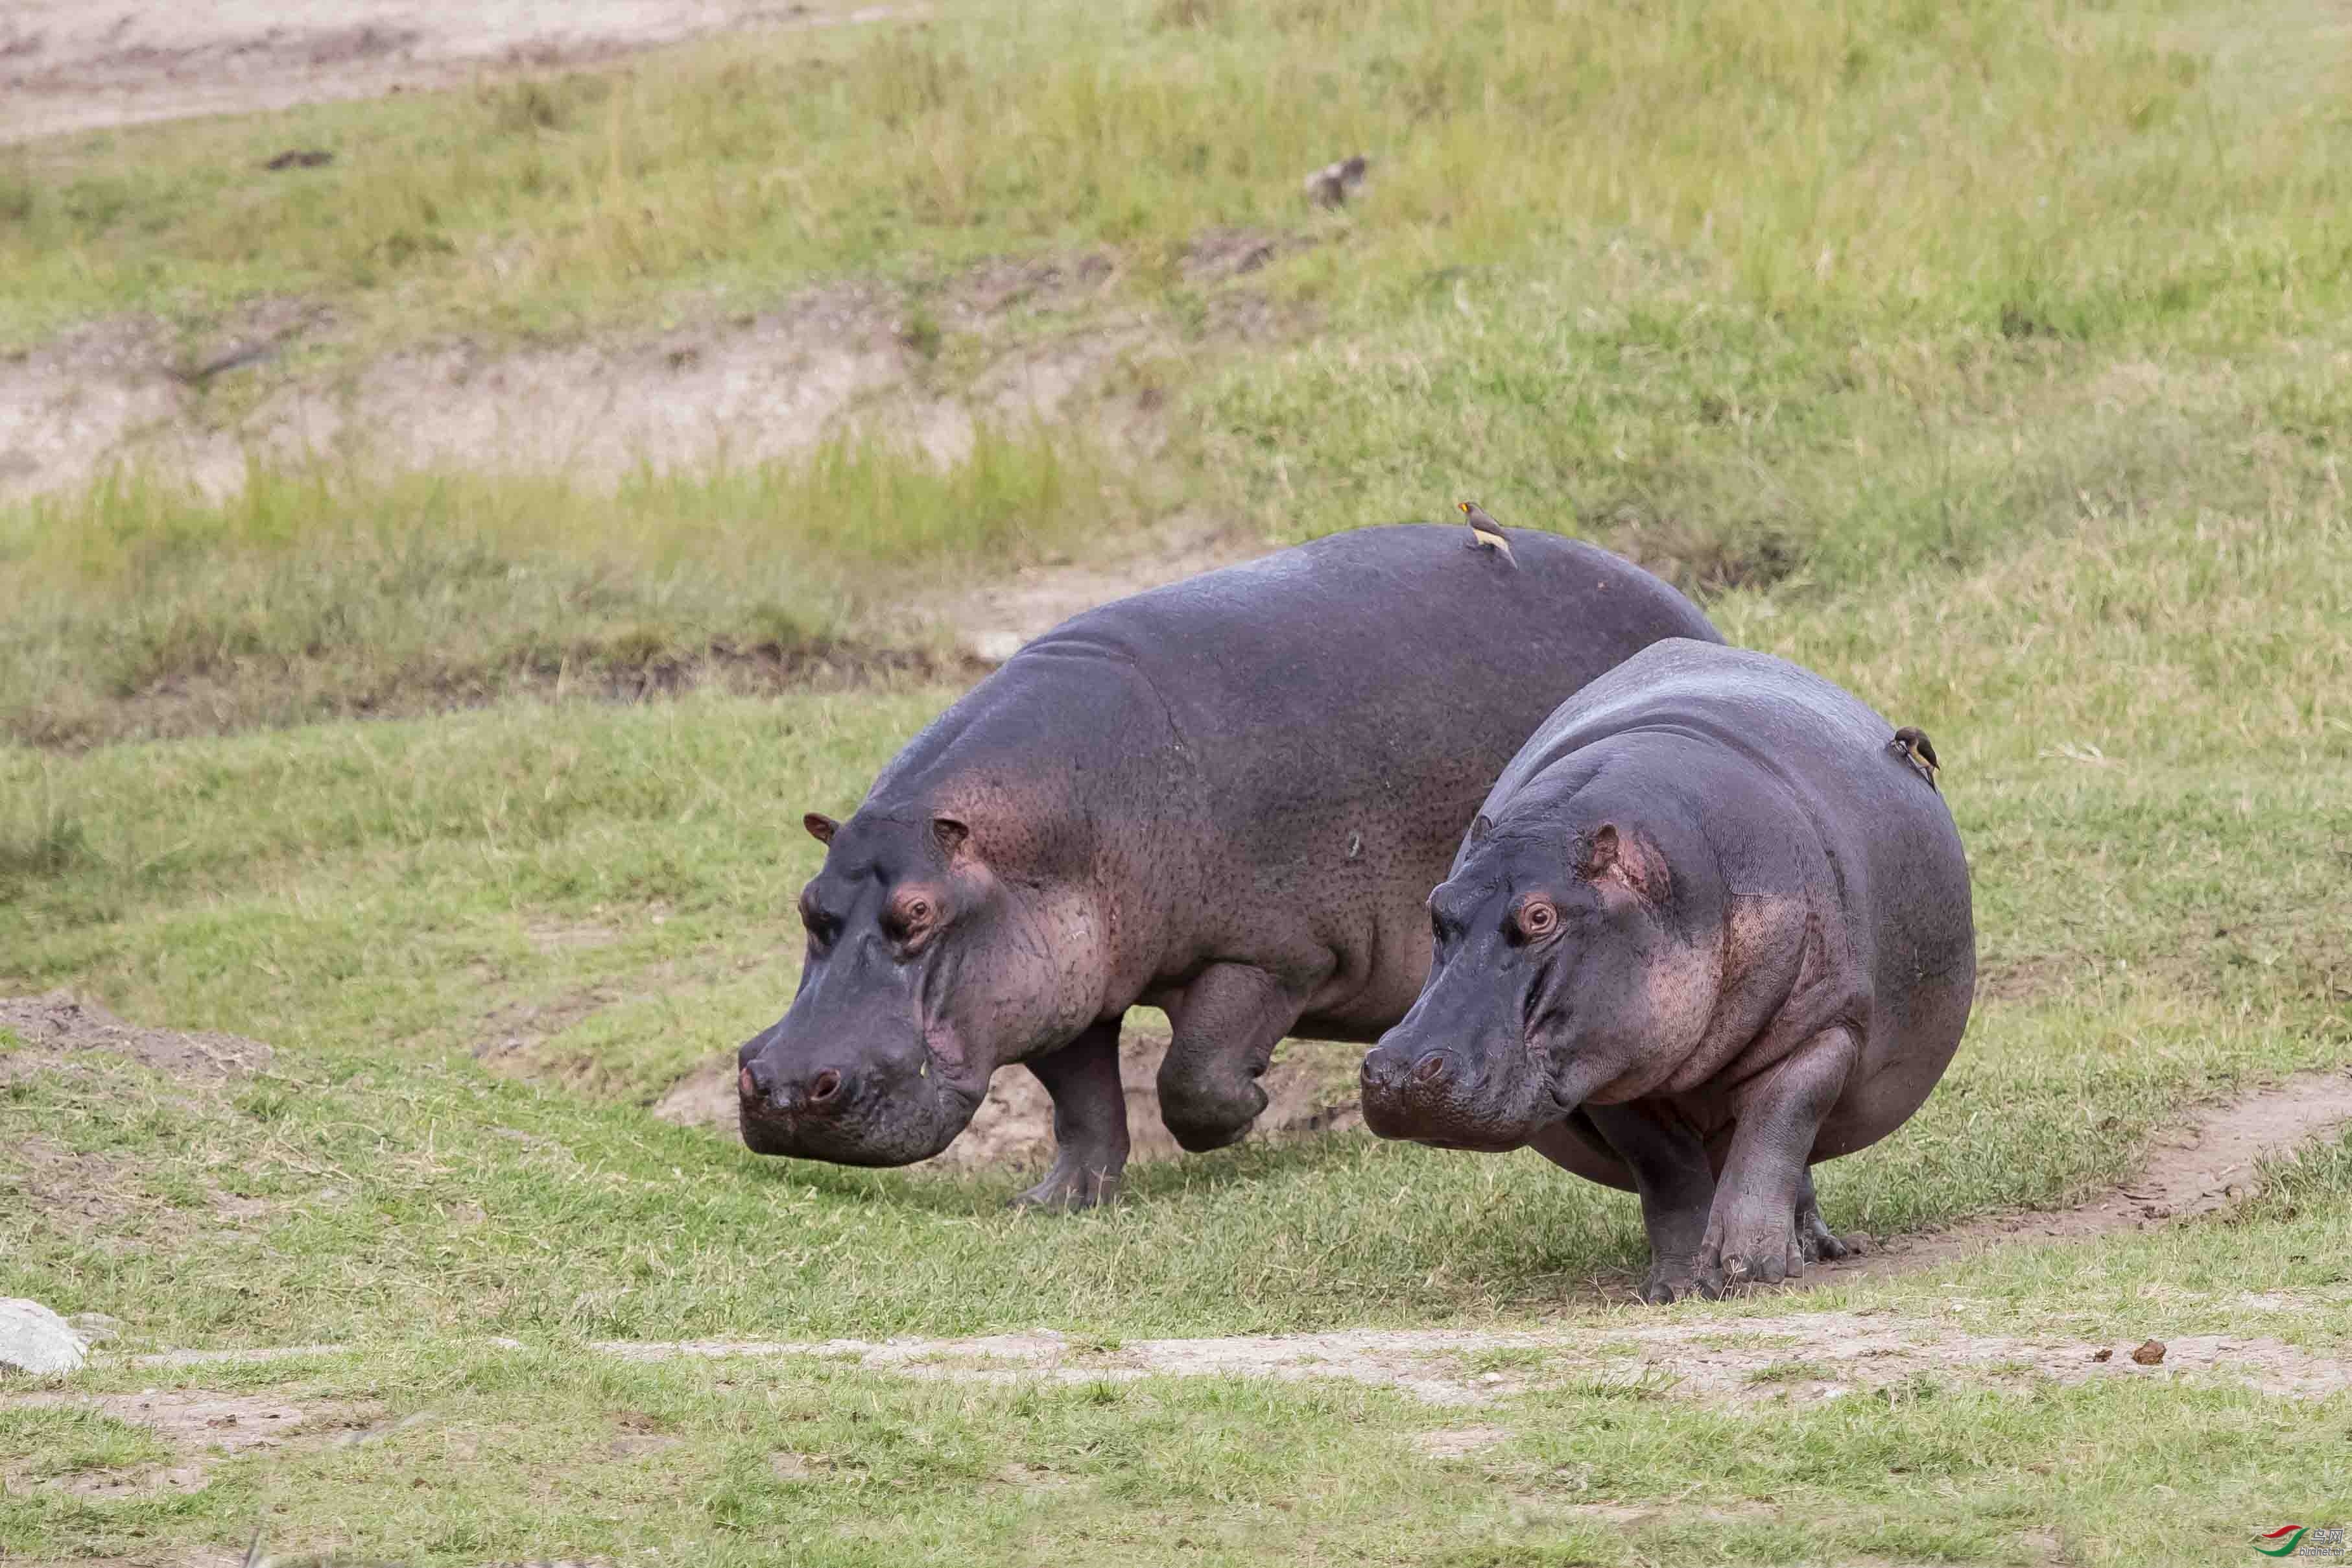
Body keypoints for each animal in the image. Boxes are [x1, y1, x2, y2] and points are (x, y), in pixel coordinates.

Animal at [743, 531, 1721, 1213]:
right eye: (807, 905)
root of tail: (1687, 614)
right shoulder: (1060, 985)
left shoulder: (1273, 955)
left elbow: (1192, 1077)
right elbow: (1083, 1106)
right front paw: (1050, 1202)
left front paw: (1254, 1107)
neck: (1047, 830)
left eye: (917, 913)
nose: (784, 1085)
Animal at [1355, 639, 1975, 1298]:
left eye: (1541, 916)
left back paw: (1817, 1249)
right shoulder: (1614, 1062)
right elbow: (1666, 1172)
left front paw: (1751, 1271)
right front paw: (1679, 1287)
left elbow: (1775, 1133)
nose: (1395, 1072)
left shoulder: (1821, 1028)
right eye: (1436, 904)